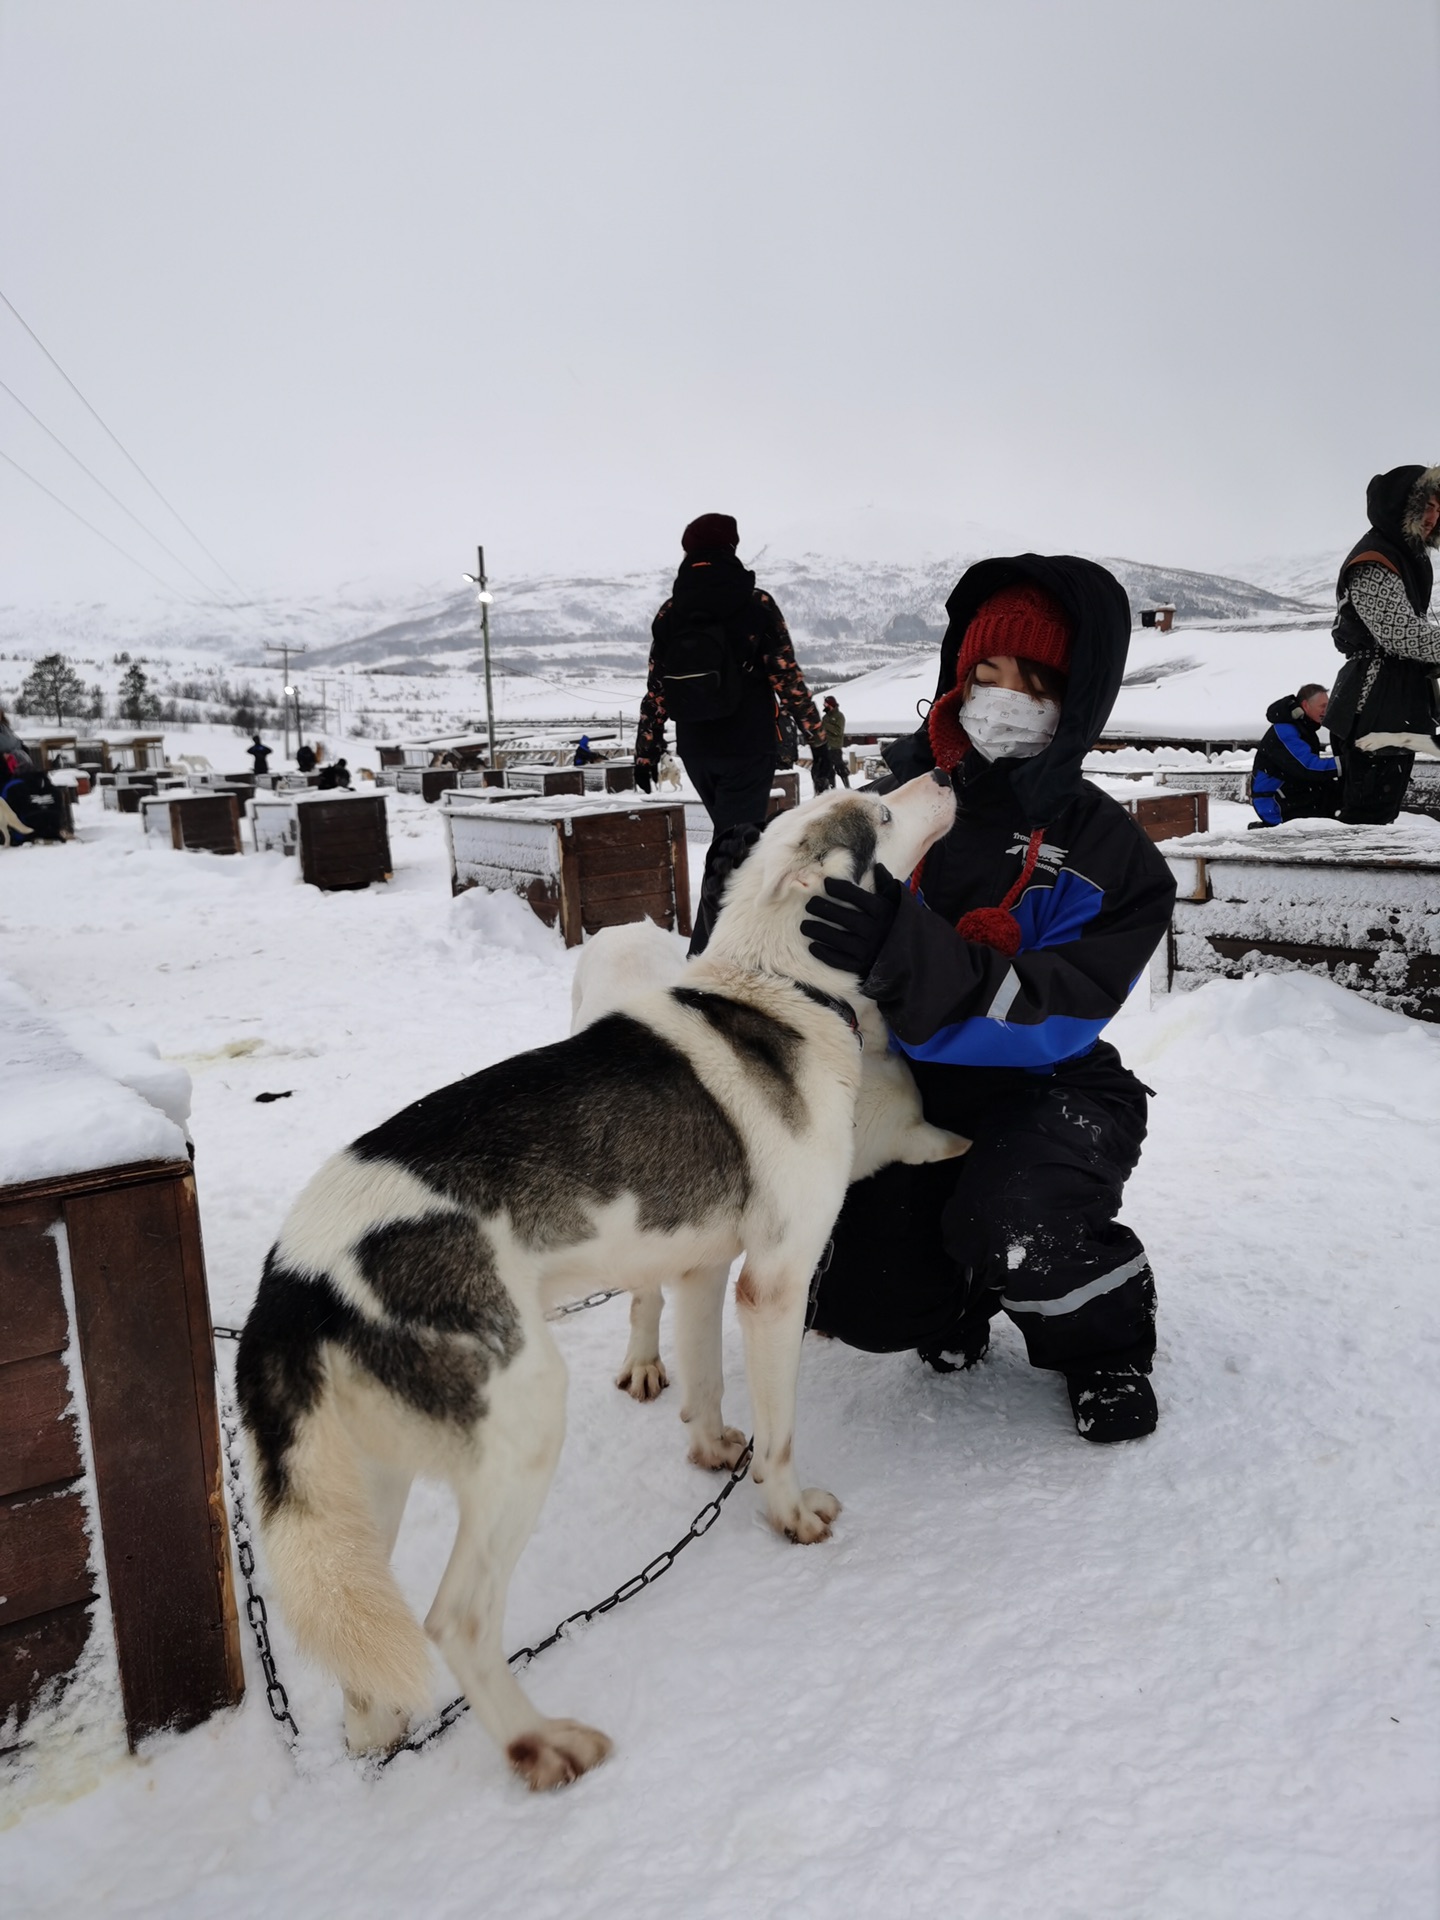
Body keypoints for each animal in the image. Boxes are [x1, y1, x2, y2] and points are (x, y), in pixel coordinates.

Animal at [237, 771, 960, 1789]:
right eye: (883, 811)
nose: (941, 771)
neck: (779, 982)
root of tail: (293, 1274)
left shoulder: (701, 1266)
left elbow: (705, 1382)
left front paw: (709, 1447)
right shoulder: (774, 1282)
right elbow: (778, 1439)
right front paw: (788, 1514)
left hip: (367, 1489)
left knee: (363, 1633)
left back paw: (379, 1730)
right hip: (527, 1424)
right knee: (456, 1619)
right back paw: (541, 1745)